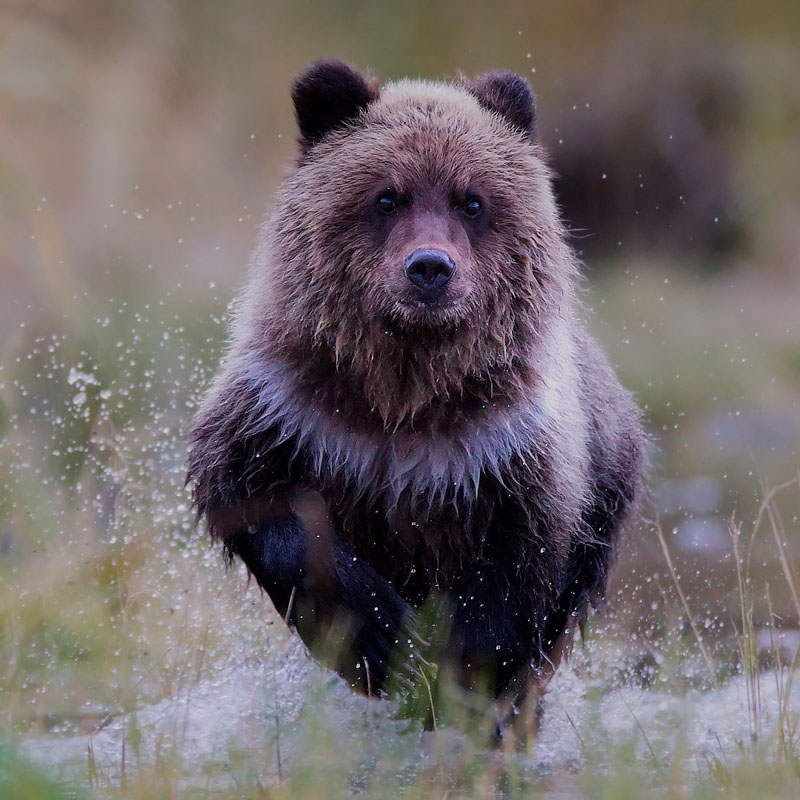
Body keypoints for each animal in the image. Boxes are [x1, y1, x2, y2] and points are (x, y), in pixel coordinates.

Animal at [187, 59, 647, 736]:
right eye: (386, 196)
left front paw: (460, 683)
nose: (430, 267)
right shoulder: (292, 408)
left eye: (472, 200)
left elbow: (513, 569)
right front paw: (380, 636)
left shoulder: (503, 448)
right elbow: (254, 497)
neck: (405, 391)